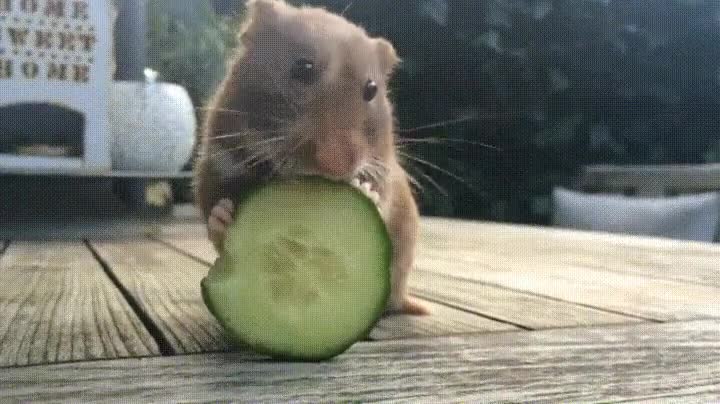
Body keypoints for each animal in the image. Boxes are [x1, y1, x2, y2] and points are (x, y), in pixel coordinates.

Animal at [193, 0, 429, 315]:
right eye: (302, 68)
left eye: (372, 89)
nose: (337, 164)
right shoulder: (214, 163)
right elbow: (213, 209)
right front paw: (225, 216)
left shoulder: (385, 173)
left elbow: (380, 199)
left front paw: (366, 192)